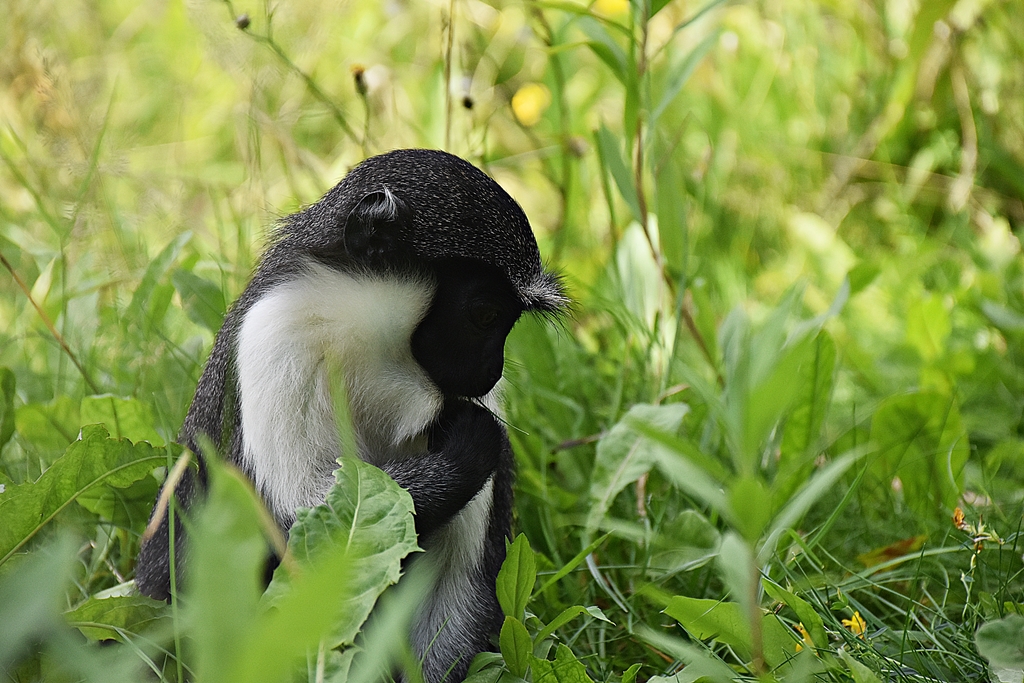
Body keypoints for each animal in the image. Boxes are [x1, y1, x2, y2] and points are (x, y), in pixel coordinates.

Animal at [134, 149, 567, 682]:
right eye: (485, 314)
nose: (492, 370)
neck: (373, 355)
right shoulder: (277, 335)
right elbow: (295, 531)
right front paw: (468, 450)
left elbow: (455, 587)